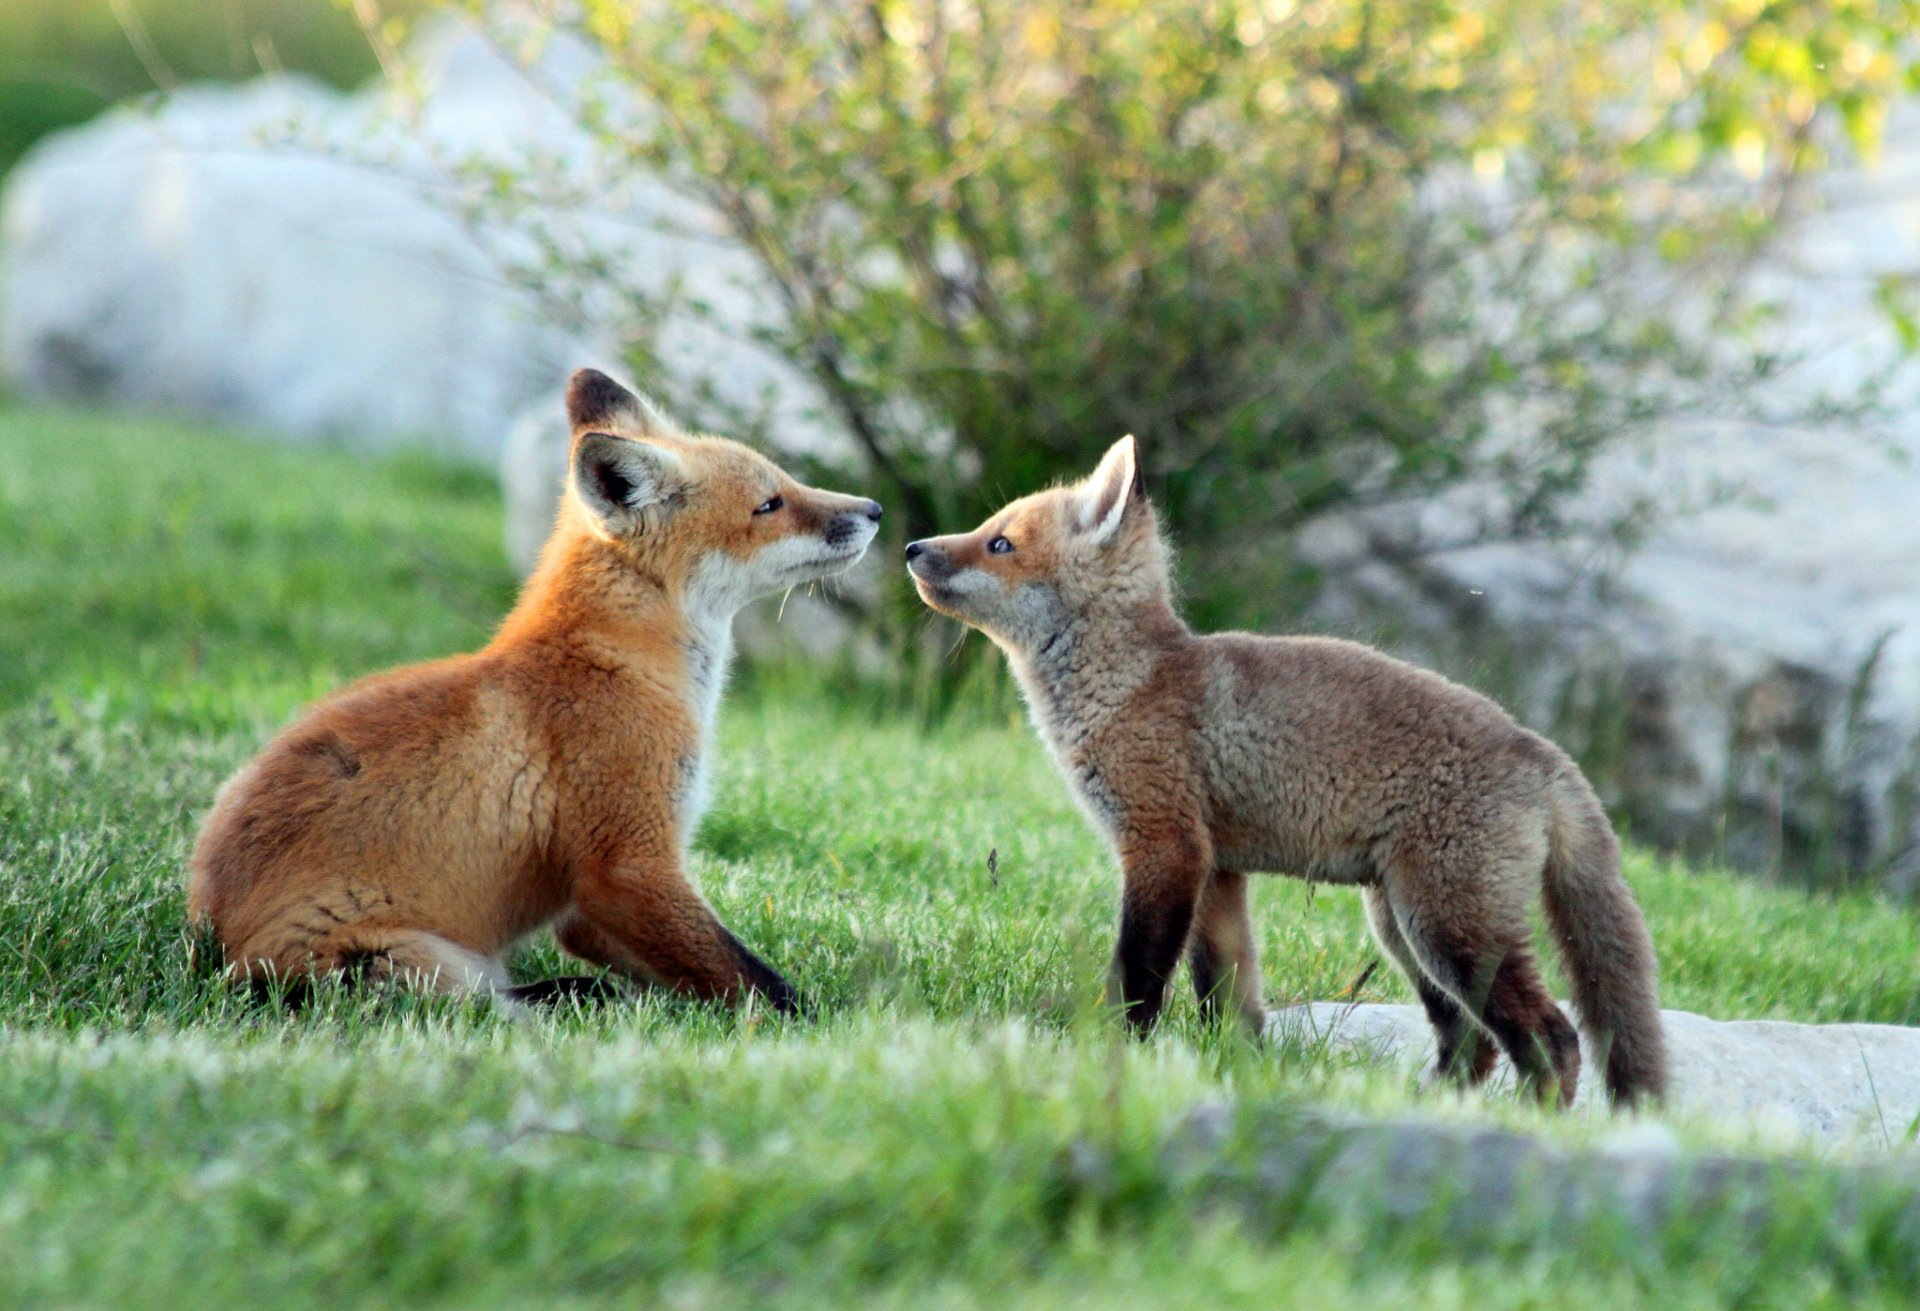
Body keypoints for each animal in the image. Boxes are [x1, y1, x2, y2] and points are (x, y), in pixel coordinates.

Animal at [187, 368, 882, 1012]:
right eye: (770, 504)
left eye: (786, 481)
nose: (875, 511)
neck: (619, 664)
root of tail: (211, 955)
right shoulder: (627, 863)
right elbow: (756, 981)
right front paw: (834, 1026)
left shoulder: (589, 903)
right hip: (413, 963)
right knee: (496, 1004)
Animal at [905, 436, 1667, 1107]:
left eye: (1000, 543)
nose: (913, 547)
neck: (1128, 683)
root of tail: (1540, 749)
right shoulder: (1218, 872)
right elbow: (1228, 999)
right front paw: (1231, 1073)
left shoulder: (1164, 846)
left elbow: (1139, 979)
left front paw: (1114, 1056)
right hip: (1402, 929)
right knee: (1472, 1046)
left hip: (1449, 929)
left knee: (1553, 1039)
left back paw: (1536, 1124)